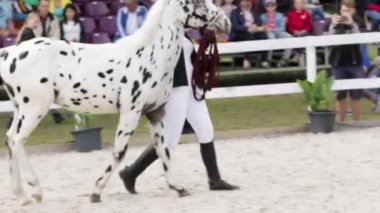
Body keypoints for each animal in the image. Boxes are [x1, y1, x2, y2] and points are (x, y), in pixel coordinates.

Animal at [0, 0, 230, 206]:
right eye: (197, 2)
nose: (226, 23)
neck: (149, 56)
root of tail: (10, 52)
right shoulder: (131, 111)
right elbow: (120, 151)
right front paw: (96, 192)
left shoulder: (155, 112)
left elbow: (163, 149)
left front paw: (178, 187)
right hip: (34, 108)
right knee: (18, 140)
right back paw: (36, 191)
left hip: (21, 109)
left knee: (10, 139)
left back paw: (22, 196)